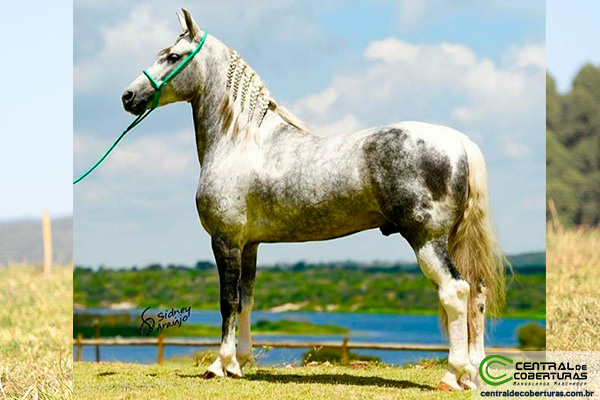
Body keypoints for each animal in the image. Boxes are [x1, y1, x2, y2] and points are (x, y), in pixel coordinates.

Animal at [122, 8, 506, 390]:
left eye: (173, 57)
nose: (128, 96)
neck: (240, 142)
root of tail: (459, 141)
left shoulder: (225, 240)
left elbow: (227, 302)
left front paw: (220, 365)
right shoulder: (249, 245)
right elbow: (246, 300)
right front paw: (241, 362)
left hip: (427, 239)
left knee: (455, 291)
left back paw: (453, 374)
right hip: (451, 240)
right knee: (477, 293)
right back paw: (474, 375)